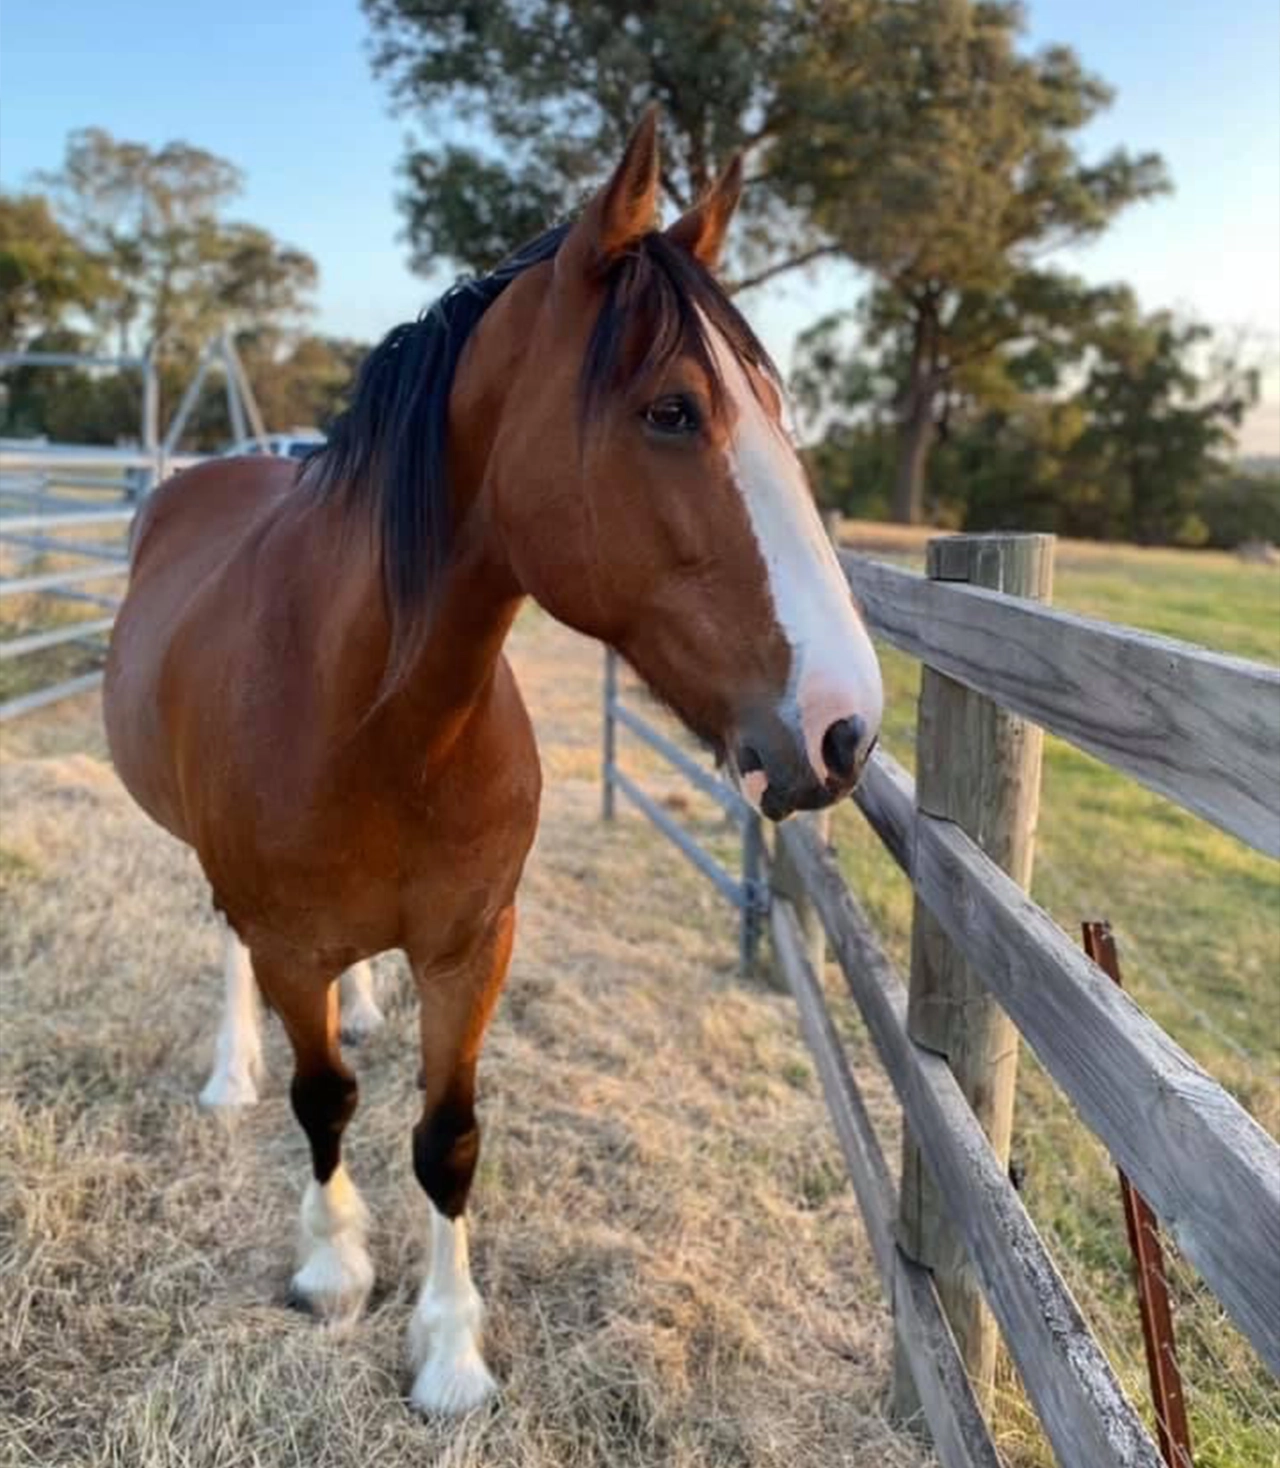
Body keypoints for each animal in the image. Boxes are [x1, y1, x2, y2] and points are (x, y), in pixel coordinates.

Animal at [104, 114, 886, 1409]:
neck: (372, 716)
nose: (844, 728)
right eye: (672, 412)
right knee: (229, 953)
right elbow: (324, 1099)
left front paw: (451, 1352)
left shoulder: (475, 943)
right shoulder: (286, 941)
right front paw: (332, 1269)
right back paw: (230, 1070)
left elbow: (447, 1136)